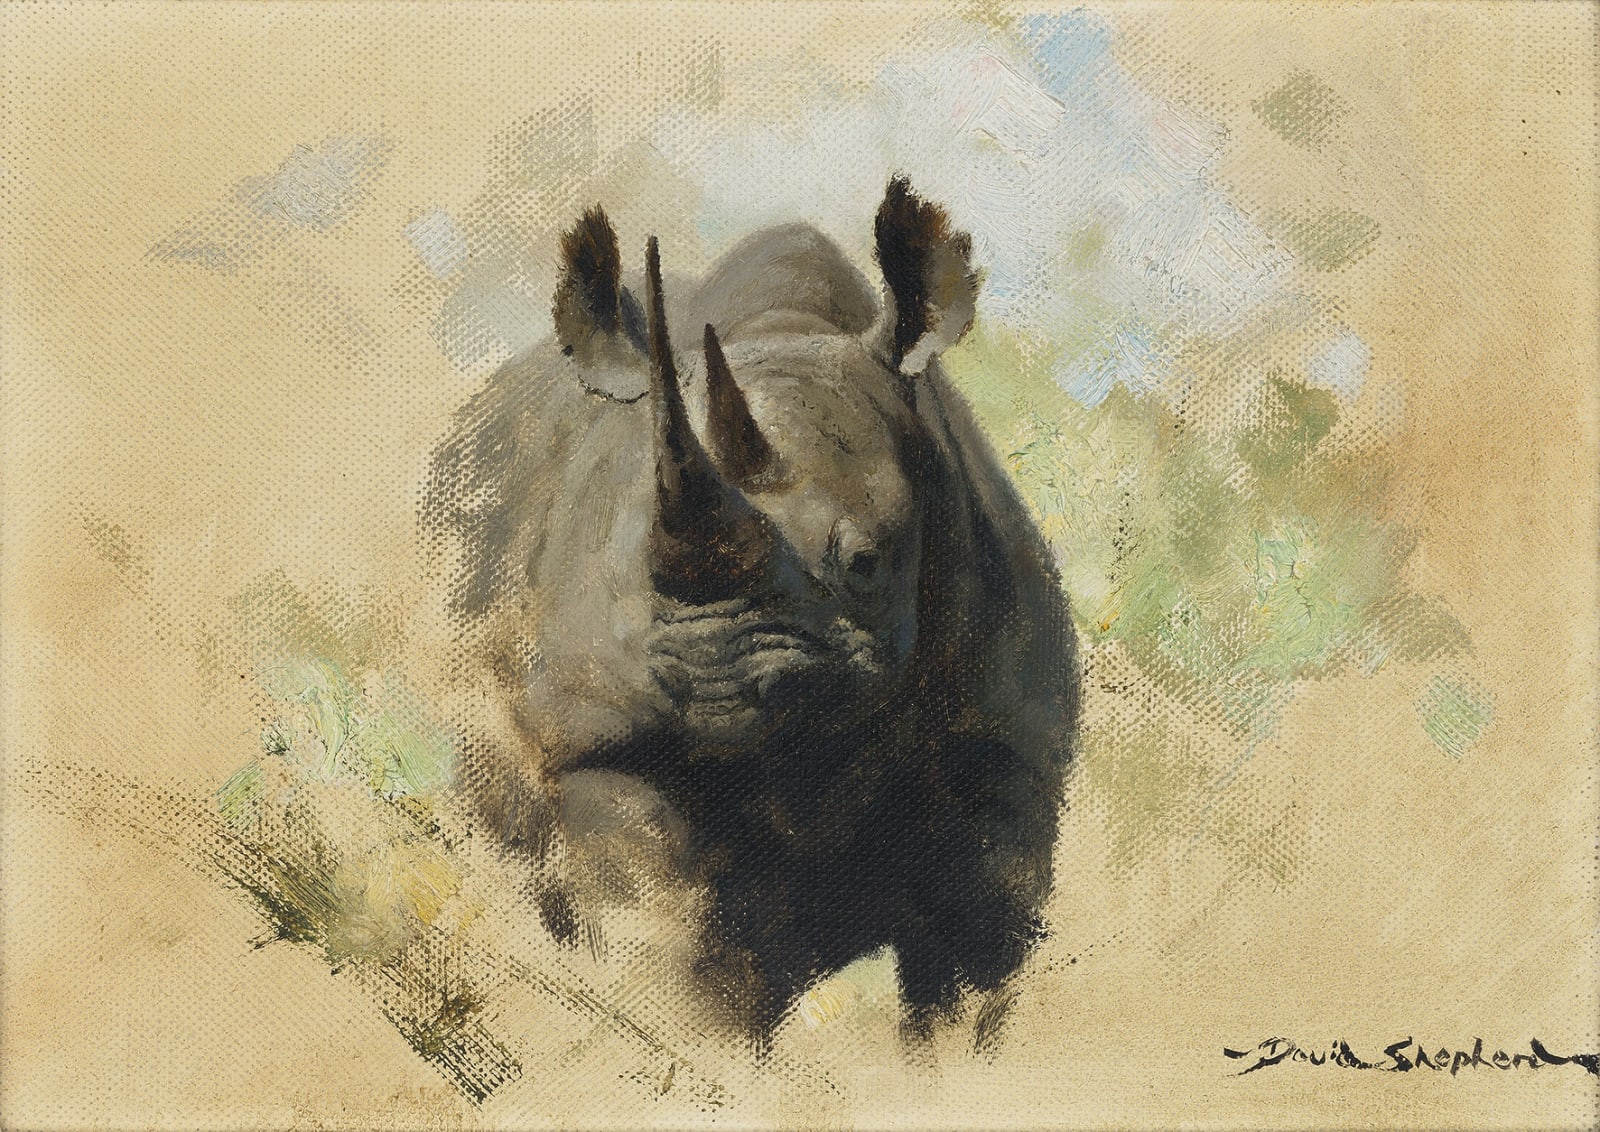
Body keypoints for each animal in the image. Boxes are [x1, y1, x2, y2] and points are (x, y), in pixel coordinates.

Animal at [423, 177, 1079, 1039]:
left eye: (865, 563)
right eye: (629, 572)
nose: (714, 683)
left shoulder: (1002, 760)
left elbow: (971, 972)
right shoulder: (600, 736)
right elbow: (673, 954)